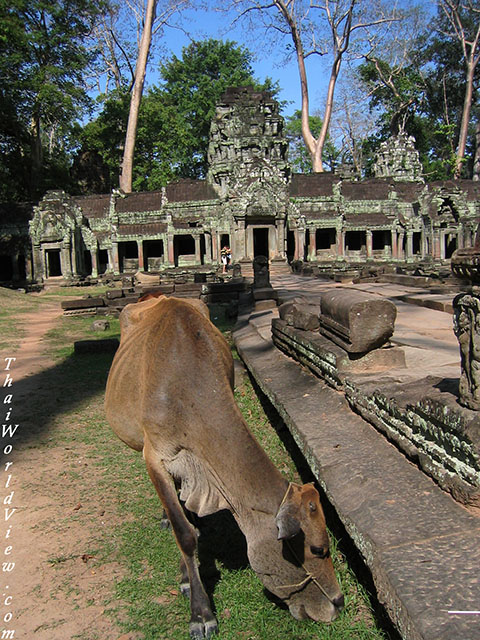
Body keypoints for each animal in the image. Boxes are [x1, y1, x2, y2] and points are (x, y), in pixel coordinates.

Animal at [105, 298, 344, 636]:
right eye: (319, 549)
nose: (338, 603)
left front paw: (186, 575)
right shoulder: (154, 455)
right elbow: (184, 533)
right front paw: (201, 613)